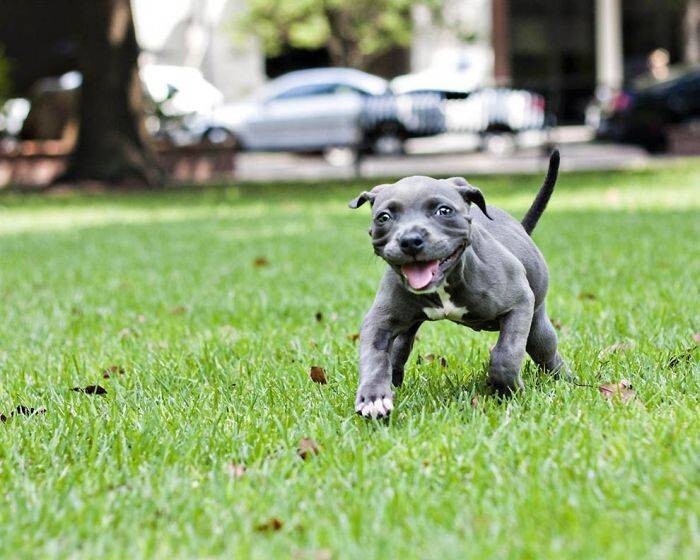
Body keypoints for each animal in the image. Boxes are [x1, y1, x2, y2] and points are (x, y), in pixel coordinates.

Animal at [350, 151, 568, 418]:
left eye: (444, 211)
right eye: (384, 217)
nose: (410, 240)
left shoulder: (519, 304)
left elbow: (505, 355)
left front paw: (509, 390)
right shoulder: (379, 321)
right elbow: (374, 356)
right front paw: (374, 398)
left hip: (537, 326)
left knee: (547, 352)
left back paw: (566, 381)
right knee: (399, 350)